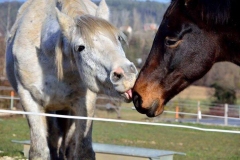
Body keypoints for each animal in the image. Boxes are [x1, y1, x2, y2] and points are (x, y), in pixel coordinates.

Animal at [5, 0, 138, 159]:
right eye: (80, 47)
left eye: (118, 38)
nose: (126, 75)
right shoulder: (29, 98)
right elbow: (39, 152)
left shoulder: (84, 102)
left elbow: (82, 151)